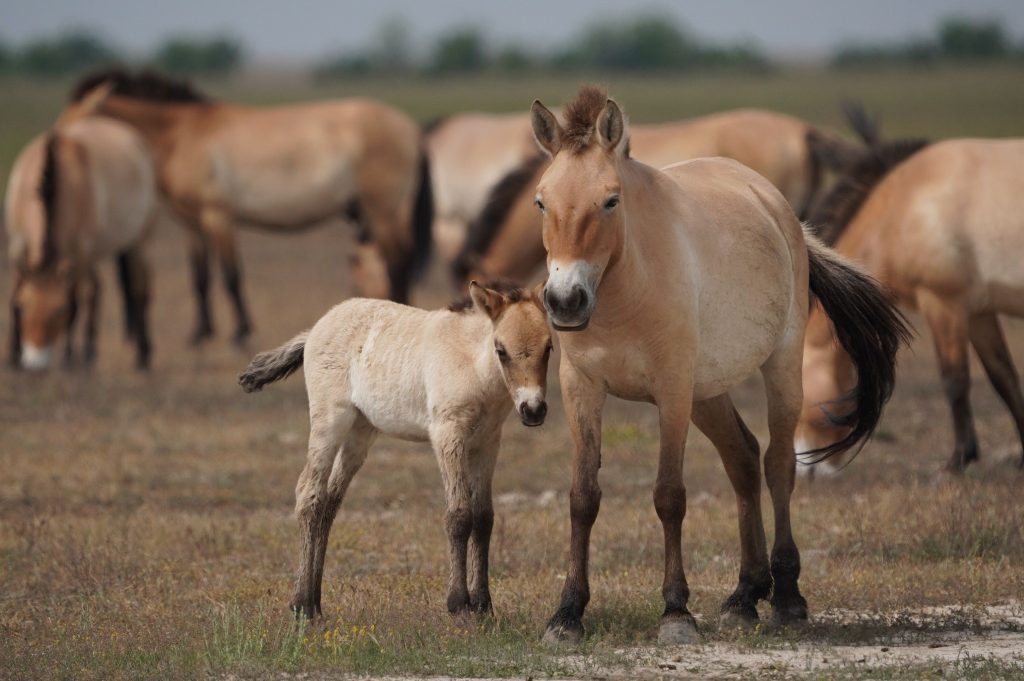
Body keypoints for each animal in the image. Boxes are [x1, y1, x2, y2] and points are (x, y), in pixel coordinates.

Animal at [5, 117, 155, 372]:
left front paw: (70, 356)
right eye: (23, 307)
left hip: (138, 238)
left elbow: (77, 302)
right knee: (97, 288)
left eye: (59, 311)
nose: (34, 361)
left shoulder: (80, 254)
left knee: (136, 288)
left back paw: (141, 353)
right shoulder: (18, 244)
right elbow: (13, 293)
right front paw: (13, 356)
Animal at [62, 67, 432, 346]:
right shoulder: (192, 223)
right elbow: (200, 277)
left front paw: (239, 333)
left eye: (80, 122)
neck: (182, 134)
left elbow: (231, 275)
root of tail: (410, 129)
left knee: (399, 261)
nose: (59, 155)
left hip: (383, 211)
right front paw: (200, 333)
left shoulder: (218, 216)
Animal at [238, 280, 552, 614]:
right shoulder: (447, 435)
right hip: (330, 421)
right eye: (501, 350)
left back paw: (315, 602)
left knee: (329, 502)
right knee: (308, 494)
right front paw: (458, 604)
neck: (473, 365)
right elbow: (459, 515)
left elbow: (483, 518)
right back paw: (301, 606)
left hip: (361, 432)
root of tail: (315, 329)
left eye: (549, 348)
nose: (533, 410)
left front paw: (483, 606)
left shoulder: (488, 442)